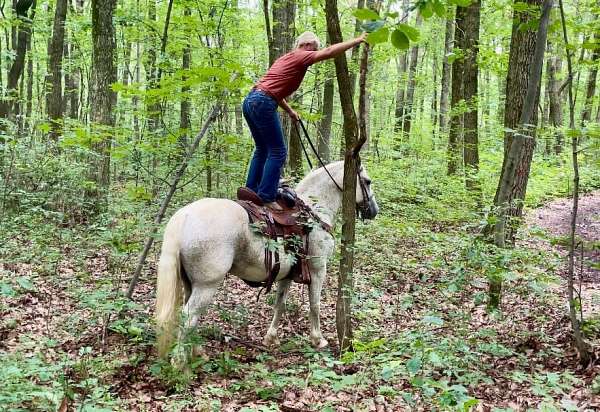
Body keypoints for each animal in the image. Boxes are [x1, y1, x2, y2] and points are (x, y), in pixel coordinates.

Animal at [156, 159, 380, 358]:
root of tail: (183, 217)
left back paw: (196, 351)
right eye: (367, 181)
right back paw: (180, 363)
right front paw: (318, 339)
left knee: (190, 316)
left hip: (190, 283)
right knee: (188, 316)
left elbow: (279, 304)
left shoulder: (287, 274)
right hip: (207, 285)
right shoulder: (318, 269)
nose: (374, 211)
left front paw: (270, 338)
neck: (314, 212)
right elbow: (315, 305)